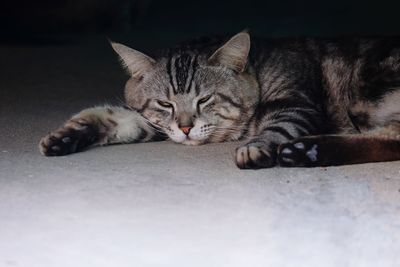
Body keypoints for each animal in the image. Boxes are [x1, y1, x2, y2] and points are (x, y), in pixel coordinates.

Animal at [38, 31, 400, 170]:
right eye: (165, 104)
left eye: (205, 100)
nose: (185, 128)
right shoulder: (154, 122)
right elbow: (113, 116)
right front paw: (66, 136)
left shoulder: (294, 104)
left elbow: (276, 127)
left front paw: (256, 147)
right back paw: (308, 151)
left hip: (365, 103)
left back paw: (308, 149)